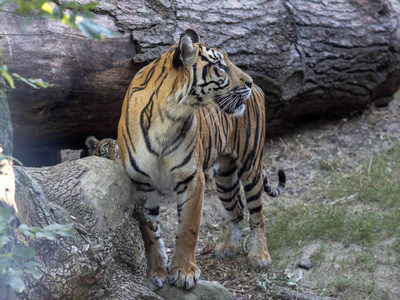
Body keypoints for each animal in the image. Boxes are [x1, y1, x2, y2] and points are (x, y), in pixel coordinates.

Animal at [117, 28, 286, 290]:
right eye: (220, 65)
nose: (249, 81)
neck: (167, 117)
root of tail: (260, 91)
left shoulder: (192, 178)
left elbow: (188, 227)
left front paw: (185, 272)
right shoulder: (141, 185)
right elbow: (150, 234)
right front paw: (156, 272)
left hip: (251, 166)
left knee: (258, 214)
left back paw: (259, 256)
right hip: (225, 179)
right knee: (237, 211)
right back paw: (228, 247)